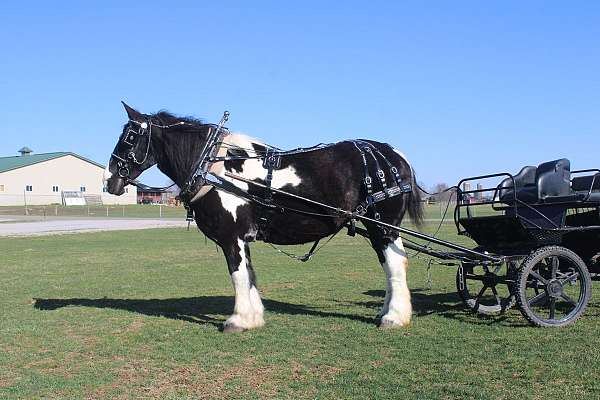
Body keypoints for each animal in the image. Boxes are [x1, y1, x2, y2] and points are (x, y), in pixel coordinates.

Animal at [105, 102, 422, 332]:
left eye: (129, 137)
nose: (111, 181)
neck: (215, 167)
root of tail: (390, 154)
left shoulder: (231, 237)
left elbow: (238, 276)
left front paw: (238, 320)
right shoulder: (242, 239)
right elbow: (249, 276)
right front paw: (253, 316)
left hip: (383, 227)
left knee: (395, 265)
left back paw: (393, 317)